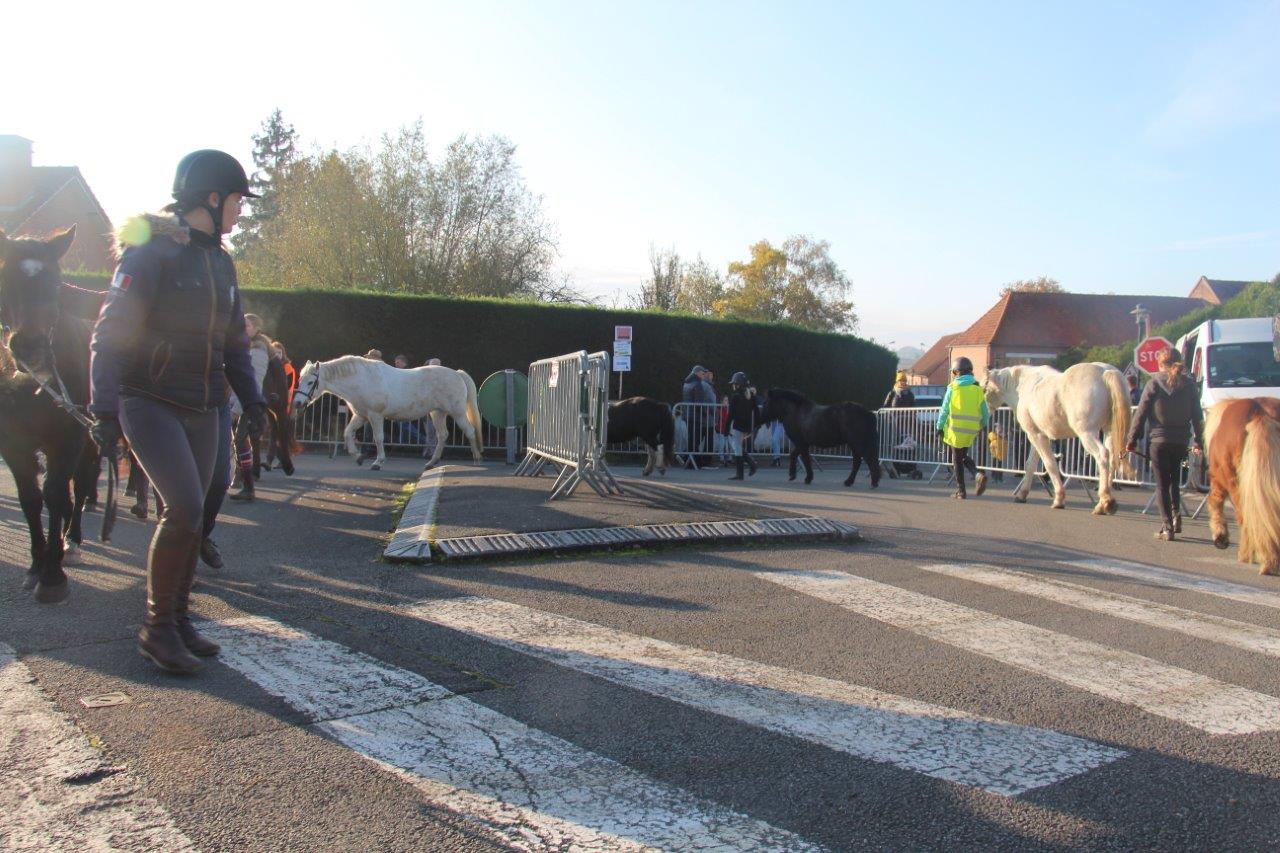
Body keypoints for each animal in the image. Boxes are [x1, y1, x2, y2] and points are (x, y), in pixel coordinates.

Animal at [0, 225, 100, 596]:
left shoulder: (69, 437)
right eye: (4, 279)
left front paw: (53, 575)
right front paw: (35, 564)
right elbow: (30, 497)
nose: (31, 347)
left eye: (56, 284)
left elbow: (55, 493)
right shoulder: (13, 443)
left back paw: (71, 541)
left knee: (82, 484)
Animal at [293, 353, 481, 468]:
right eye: (300, 379)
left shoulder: (375, 415)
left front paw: (378, 462)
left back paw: (477, 459)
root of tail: (457, 374)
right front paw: (358, 457)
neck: (362, 379)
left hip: (457, 412)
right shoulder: (361, 415)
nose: (297, 403)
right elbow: (347, 433)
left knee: (470, 431)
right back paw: (431, 463)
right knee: (443, 435)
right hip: (437, 413)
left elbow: (378, 438)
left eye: (310, 382)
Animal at [983, 361, 1136, 512]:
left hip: (1087, 433)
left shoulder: (1036, 436)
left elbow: (1049, 464)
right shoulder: (1037, 435)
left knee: (1102, 455)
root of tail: (1106, 372)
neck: (1023, 385)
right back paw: (1106, 500)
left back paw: (1104, 502)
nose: (983, 415)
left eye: (984, 389)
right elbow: (1030, 464)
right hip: (1109, 431)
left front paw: (1059, 499)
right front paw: (1022, 494)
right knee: (1112, 458)